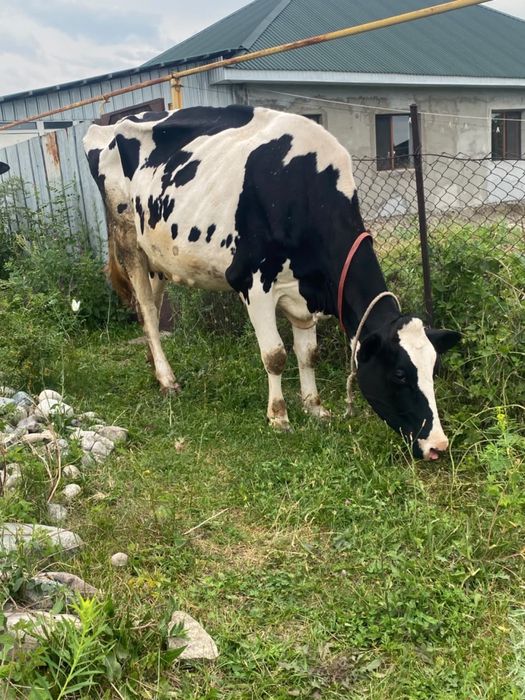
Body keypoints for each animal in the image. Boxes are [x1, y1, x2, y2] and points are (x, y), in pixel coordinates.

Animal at [84, 106, 460, 461]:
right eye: (399, 374)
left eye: (434, 369)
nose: (438, 445)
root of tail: (107, 125)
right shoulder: (253, 282)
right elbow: (275, 355)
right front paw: (279, 417)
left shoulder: (303, 295)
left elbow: (308, 354)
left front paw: (315, 407)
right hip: (127, 238)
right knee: (147, 310)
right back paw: (167, 380)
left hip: (156, 254)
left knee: (150, 306)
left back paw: (154, 366)